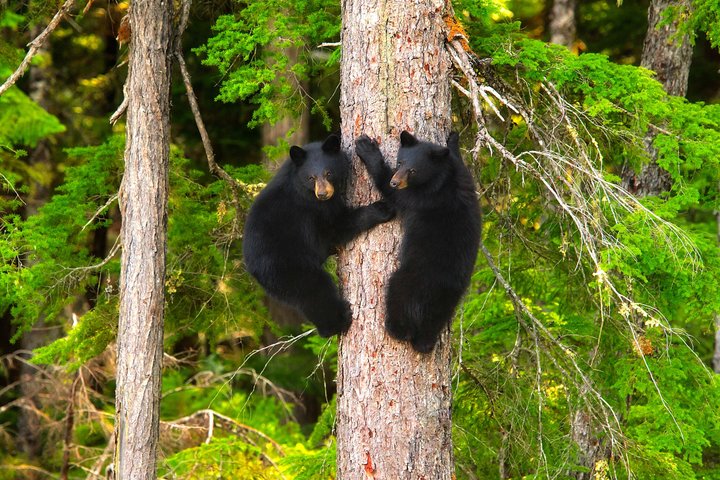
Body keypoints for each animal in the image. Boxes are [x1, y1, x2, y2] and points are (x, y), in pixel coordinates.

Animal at [243, 134, 394, 337]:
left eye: (329, 173)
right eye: (311, 177)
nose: (323, 194)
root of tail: (252, 268)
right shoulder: (312, 210)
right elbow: (336, 227)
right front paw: (381, 208)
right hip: (288, 265)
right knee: (314, 292)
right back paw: (337, 322)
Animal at [355, 130, 481, 353]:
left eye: (412, 170)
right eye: (400, 162)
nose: (395, 182)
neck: (443, 177)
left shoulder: (421, 197)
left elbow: (392, 192)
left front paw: (367, 149)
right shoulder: (464, 176)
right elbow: (458, 159)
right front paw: (453, 139)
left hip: (409, 280)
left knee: (398, 295)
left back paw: (395, 329)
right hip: (448, 303)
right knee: (433, 324)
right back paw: (425, 344)